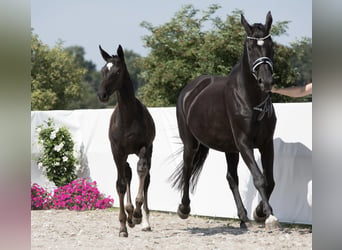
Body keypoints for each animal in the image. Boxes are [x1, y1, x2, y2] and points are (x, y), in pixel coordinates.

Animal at [97, 44, 154, 236]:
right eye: (103, 70)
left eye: (117, 71)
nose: (101, 94)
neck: (128, 117)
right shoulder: (117, 151)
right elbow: (120, 184)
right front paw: (123, 226)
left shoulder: (144, 146)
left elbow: (142, 171)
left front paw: (137, 214)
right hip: (125, 155)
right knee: (127, 173)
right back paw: (129, 217)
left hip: (147, 150)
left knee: (146, 178)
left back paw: (143, 220)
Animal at [171, 12, 280, 230]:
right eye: (250, 47)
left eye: (271, 45)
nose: (266, 81)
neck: (250, 99)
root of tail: (190, 89)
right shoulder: (244, 143)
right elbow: (259, 179)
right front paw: (268, 215)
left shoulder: (266, 144)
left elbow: (270, 180)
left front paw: (260, 213)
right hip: (191, 143)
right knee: (187, 169)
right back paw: (184, 208)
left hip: (230, 149)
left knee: (231, 178)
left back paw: (243, 217)